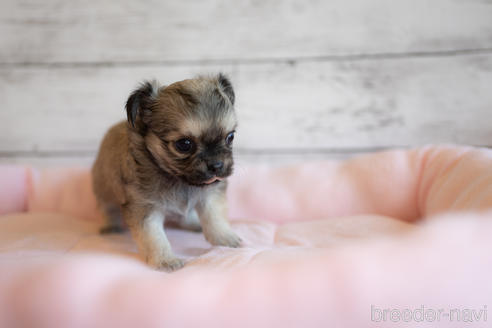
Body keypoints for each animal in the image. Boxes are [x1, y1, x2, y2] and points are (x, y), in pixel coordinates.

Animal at [91, 74, 241, 272]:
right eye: (184, 144)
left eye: (230, 137)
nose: (217, 165)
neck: (179, 180)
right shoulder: (145, 209)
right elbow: (154, 238)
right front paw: (165, 260)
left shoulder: (210, 195)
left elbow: (215, 217)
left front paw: (225, 238)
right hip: (104, 189)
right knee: (108, 208)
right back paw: (110, 226)